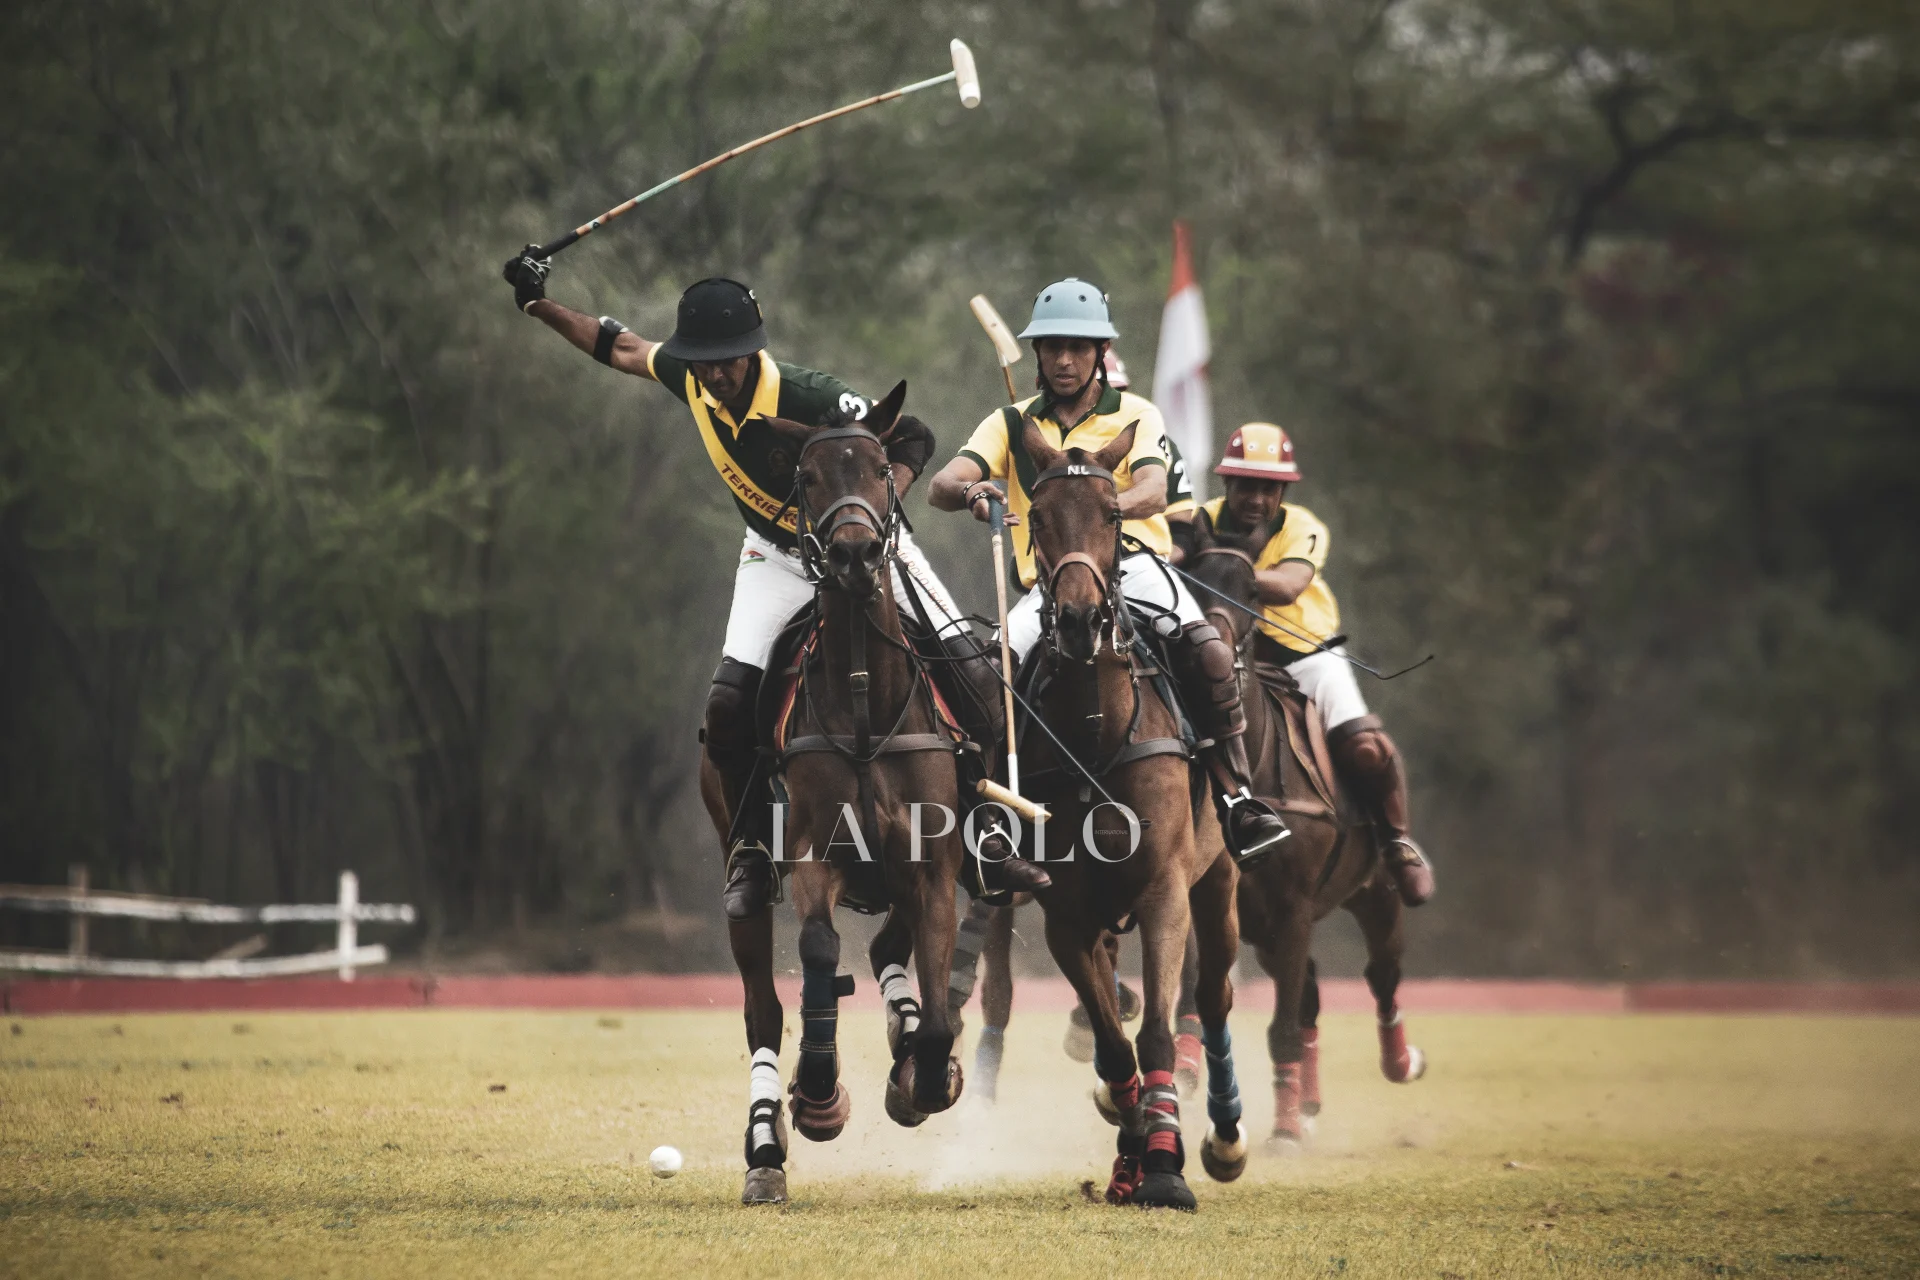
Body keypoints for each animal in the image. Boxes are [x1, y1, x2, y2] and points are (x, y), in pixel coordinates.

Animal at [706, 385, 967, 1205]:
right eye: (809, 475)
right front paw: (819, 1095)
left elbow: (940, 1009)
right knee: (762, 1010)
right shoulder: (814, 856)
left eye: (882, 469)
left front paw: (923, 1072)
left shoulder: (932, 866)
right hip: (749, 878)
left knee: (889, 949)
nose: (854, 553)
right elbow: (819, 953)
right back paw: (765, 1147)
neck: (862, 701)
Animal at [1021, 420, 1244, 1212]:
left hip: (1220, 880)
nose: (1080, 620)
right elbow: (1115, 1045)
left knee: (1214, 996)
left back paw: (1224, 1138)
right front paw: (1133, 1153)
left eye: (1115, 515)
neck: (1095, 729)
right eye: (1036, 516)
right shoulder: (1066, 917)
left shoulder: (1163, 892)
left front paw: (1166, 1168)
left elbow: (1154, 1035)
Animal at [1175, 514, 1420, 1151]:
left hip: (1374, 893)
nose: (1209, 657)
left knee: (1380, 976)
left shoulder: (1292, 907)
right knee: (1309, 995)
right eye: (1186, 585)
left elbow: (1280, 1026)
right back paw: (1306, 1102)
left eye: (1252, 593)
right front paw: (1184, 1066)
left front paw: (1282, 1132)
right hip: (1270, 931)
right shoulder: (1213, 897)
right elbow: (1194, 995)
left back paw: (1399, 1061)